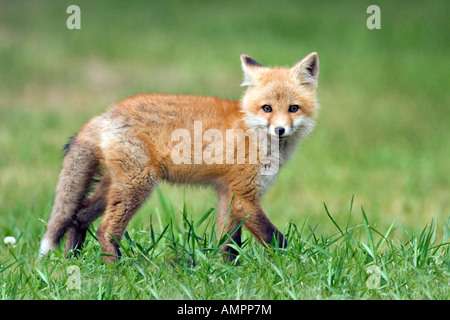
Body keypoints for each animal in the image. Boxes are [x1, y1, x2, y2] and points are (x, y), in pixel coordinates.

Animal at [39, 52, 320, 262]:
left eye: (293, 108)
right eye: (267, 108)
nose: (280, 129)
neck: (252, 131)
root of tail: (107, 113)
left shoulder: (227, 193)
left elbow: (228, 244)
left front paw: (229, 273)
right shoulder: (243, 196)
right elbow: (276, 239)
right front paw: (297, 264)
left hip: (115, 186)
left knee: (78, 217)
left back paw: (74, 263)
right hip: (137, 186)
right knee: (105, 230)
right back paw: (117, 271)